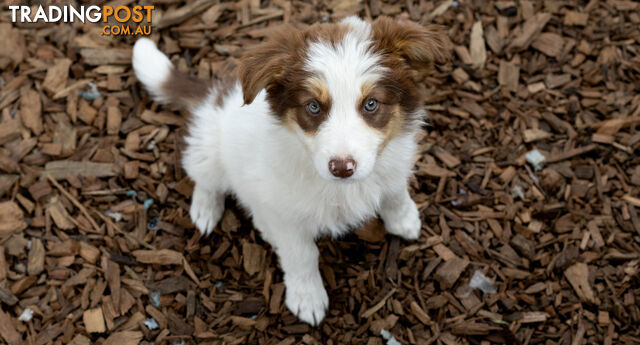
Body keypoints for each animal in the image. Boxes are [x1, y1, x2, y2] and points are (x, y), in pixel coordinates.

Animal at [131, 16, 450, 326]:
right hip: (210, 148)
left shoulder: (393, 164)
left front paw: (405, 220)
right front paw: (307, 298)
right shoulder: (285, 212)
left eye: (371, 104)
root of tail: (216, 96)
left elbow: (395, 193)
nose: (342, 168)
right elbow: (302, 255)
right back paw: (206, 211)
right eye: (313, 107)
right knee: (204, 176)